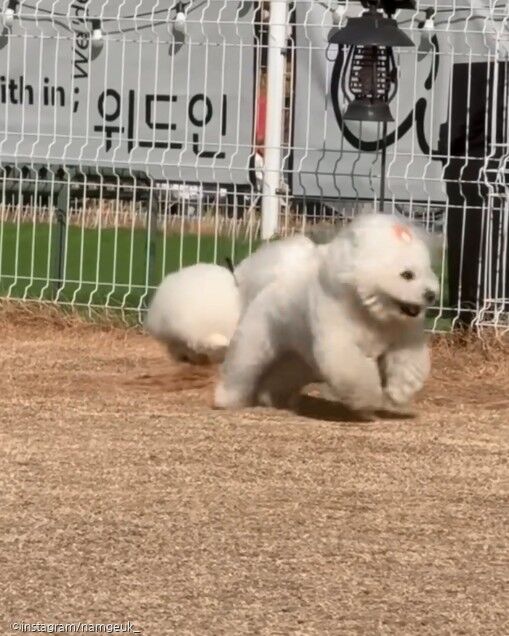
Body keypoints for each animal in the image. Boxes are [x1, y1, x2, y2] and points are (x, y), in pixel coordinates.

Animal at [212, 211, 438, 414]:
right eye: (407, 275)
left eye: (428, 270)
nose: (431, 294)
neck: (370, 311)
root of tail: (276, 279)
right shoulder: (339, 342)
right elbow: (354, 371)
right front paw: (369, 399)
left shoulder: (403, 338)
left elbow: (408, 364)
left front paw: (400, 392)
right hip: (256, 342)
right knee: (241, 370)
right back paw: (226, 400)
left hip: (298, 361)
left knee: (280, 378)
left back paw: (273, 399)